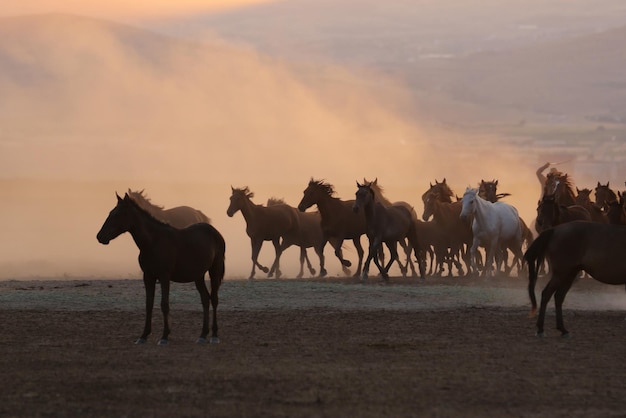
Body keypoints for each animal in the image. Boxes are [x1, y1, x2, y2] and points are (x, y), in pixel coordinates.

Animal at [95, 194, 224, 344]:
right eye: (111, 213)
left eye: (117, 214)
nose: (100, 236)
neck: (152, 241)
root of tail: (215, 233)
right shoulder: (148, 276)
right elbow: (149, 305)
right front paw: (143, 335)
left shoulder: (164, 276)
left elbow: (164, 304)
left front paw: (164, 336)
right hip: (198, 275)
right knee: (205, 299)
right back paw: (202, 335)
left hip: (215, 270)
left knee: (214, 299)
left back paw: (214, 335)